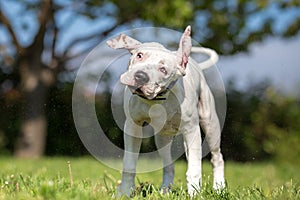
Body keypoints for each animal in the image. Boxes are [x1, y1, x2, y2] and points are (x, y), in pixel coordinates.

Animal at [106, 25, 224, 196]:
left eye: (163, 69)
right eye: (139, 55)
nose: (140, 76)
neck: (156, 100)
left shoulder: (192, 130)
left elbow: (194, 168)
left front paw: (195, 195)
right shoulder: (133, 127)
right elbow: (129, 164)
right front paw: (125, 193)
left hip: (210, 125)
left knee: (216, 157)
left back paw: (219, 188)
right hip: (162, 139)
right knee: (169, 166)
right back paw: (165, 191)